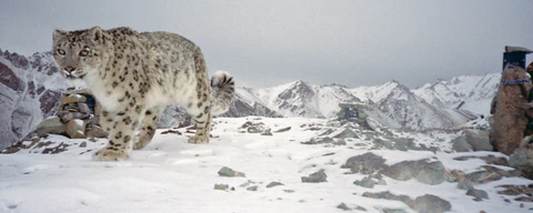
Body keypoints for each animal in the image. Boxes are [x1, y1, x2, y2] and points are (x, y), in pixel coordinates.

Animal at [53, 26, 234, 160]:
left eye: (84, 51)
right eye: (61, 51)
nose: (69, 68)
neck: (98, 82)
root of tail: (198, 51)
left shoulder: (131, 100)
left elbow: (123, 126)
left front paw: (112, 152)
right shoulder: (110, 102)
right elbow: (107, 121)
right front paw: (121, 137)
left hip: (194, 95)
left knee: (206, 113)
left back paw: (200, 137)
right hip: (154, 102)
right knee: (150, 125)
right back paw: (139, 140)